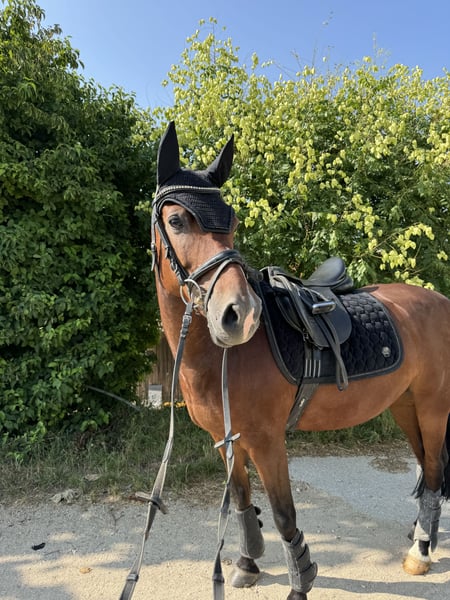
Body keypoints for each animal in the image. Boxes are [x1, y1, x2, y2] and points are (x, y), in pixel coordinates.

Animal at [151, 121, 450, 600]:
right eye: (176, 220)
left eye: (232, 220)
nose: (239, 314)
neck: (221, 357)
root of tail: (439, 301)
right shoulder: (226, 439)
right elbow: (242, 502)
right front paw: (248, 563)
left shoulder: (267, 440)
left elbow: (283, 514)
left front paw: (299, 582)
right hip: (406, 406)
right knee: (427, 466)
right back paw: (422, 535)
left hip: (433, 405)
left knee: (436, 471)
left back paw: (421, 552)